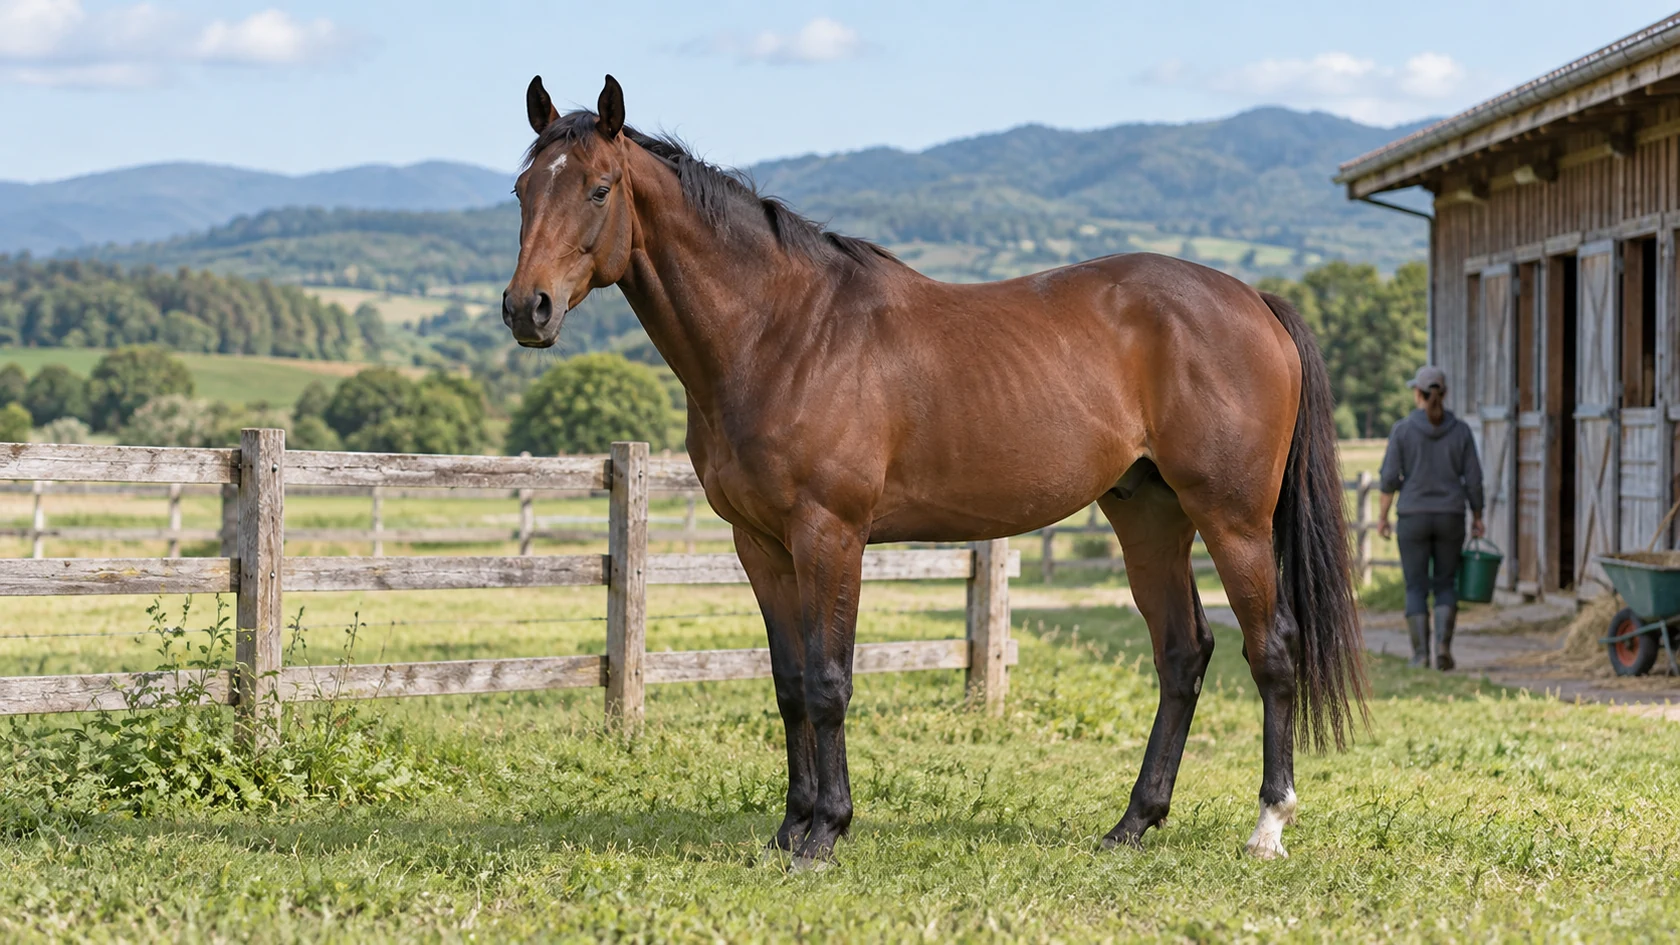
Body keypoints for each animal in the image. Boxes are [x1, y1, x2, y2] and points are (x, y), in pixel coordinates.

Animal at [502, 75, 1366, 867]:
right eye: (521, 190)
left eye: (599, 188)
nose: (525, 309)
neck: (781, 332)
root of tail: (1252, 298)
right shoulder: (761, 545)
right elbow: (787, 683)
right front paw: (788, 829)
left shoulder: (830, 535)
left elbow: (829, 680)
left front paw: (827, 831)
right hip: (1149, 516)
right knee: (1183, 654)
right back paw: (1132, 823)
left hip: (1233, 519)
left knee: (1272, 651)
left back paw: (1267, 825)